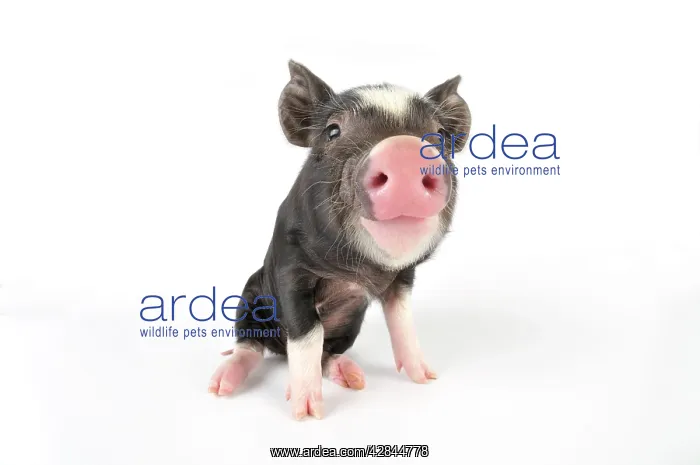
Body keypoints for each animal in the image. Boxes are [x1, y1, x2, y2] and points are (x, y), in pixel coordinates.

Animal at [208, 60, 471, 420]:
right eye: (333, 131)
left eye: (441, 136)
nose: (404, 151)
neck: (356, 269)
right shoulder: (290, 268)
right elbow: (308, 333)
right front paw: (306, 412)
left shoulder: (403, 277)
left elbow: (402, 321)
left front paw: (426, 377)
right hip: (250, 296)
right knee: (250, 344)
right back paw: (221, 384)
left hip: (351, 323)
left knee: (328, 352)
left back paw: (353, 376)